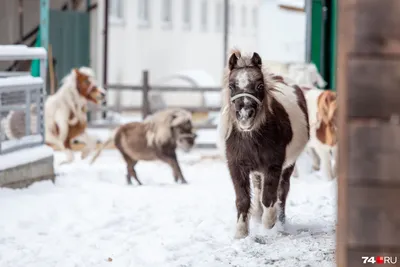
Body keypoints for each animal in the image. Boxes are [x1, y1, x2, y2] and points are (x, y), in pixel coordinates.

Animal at [219, 49, 310, 240]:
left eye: (260, 85)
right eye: (231, 86)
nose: (245, 115)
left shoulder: (273, 165)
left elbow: (269, 196)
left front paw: (269, 222)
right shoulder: (236, 165)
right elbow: (243, 199)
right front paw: (241, 232)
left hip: (288, 165)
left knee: (282, 191)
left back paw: (279, 222)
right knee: (258, 186)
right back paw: (258, 216)